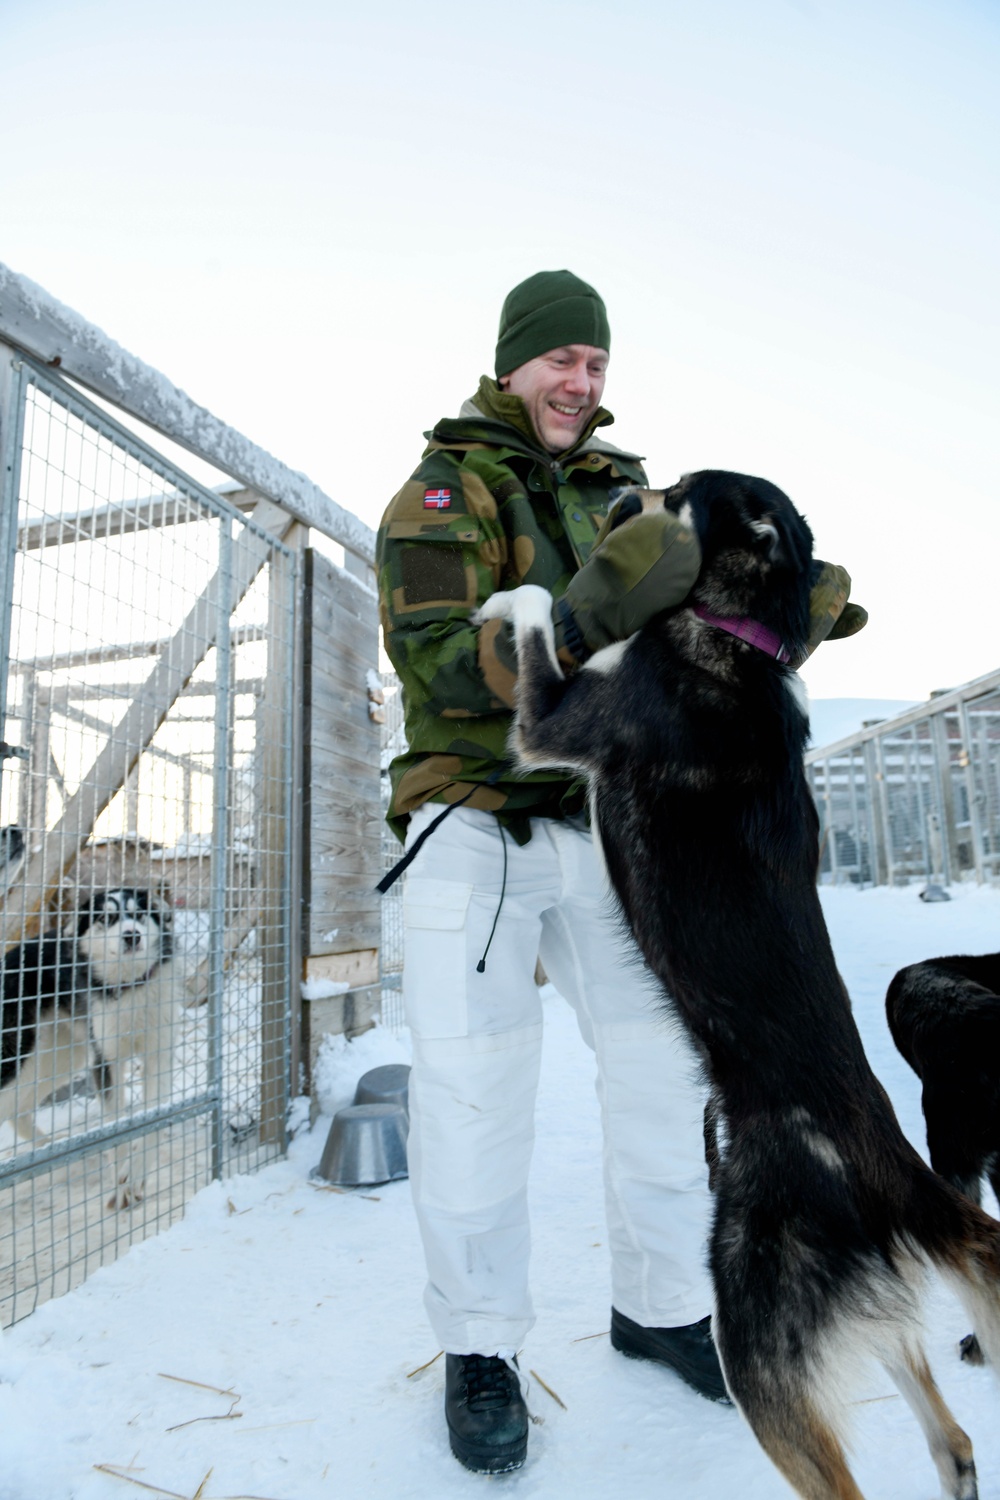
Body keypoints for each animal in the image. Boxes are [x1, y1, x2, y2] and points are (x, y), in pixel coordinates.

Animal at [0, 888, 179, 1206]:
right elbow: (115, 1126)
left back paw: (53, 1149)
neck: (129, 987)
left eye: (139, 914)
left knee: (15, 1110)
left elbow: (154, 1122)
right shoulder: (105, 1061)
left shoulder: (159, 1055)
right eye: (105, 919)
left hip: (60, 1058)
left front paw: (136, 1176)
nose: (132, 936)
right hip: (18, 1057)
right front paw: (120, 1182)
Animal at [476, 471, 1000, 1500]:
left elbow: (534, 619)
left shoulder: (554, 724)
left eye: (678, 492)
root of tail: (887, 1167)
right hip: (863, 1312)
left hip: (755, 1332)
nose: (623, 486)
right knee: (953, 1441)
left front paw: (508, 599)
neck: (738, 640)